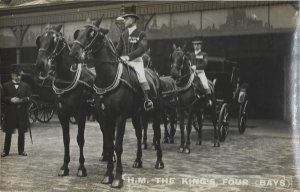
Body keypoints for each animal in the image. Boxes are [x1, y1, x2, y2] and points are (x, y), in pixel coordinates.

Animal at [35, 24, 96, 177]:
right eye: (40, 40)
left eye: (54, 40)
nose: (40, 64)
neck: (68, 78)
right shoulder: (63, 114)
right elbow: (66, 139)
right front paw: (65, 166)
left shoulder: (81, 114)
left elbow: (80, 139)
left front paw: (81, 167)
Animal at [69, 18, 164, 188]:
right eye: (78, 33)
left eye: (91, 33)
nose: (73, 53)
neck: (108, 76)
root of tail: (154, 75)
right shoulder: (104, 116)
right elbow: (109, 144)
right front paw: (108, 175)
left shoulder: (120, 117)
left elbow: (118, 146)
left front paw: (118, 178)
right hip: (136, 115)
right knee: (139, 134)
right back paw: (138, 160)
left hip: (155, 113)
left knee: (157, 134)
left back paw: (159, 162)